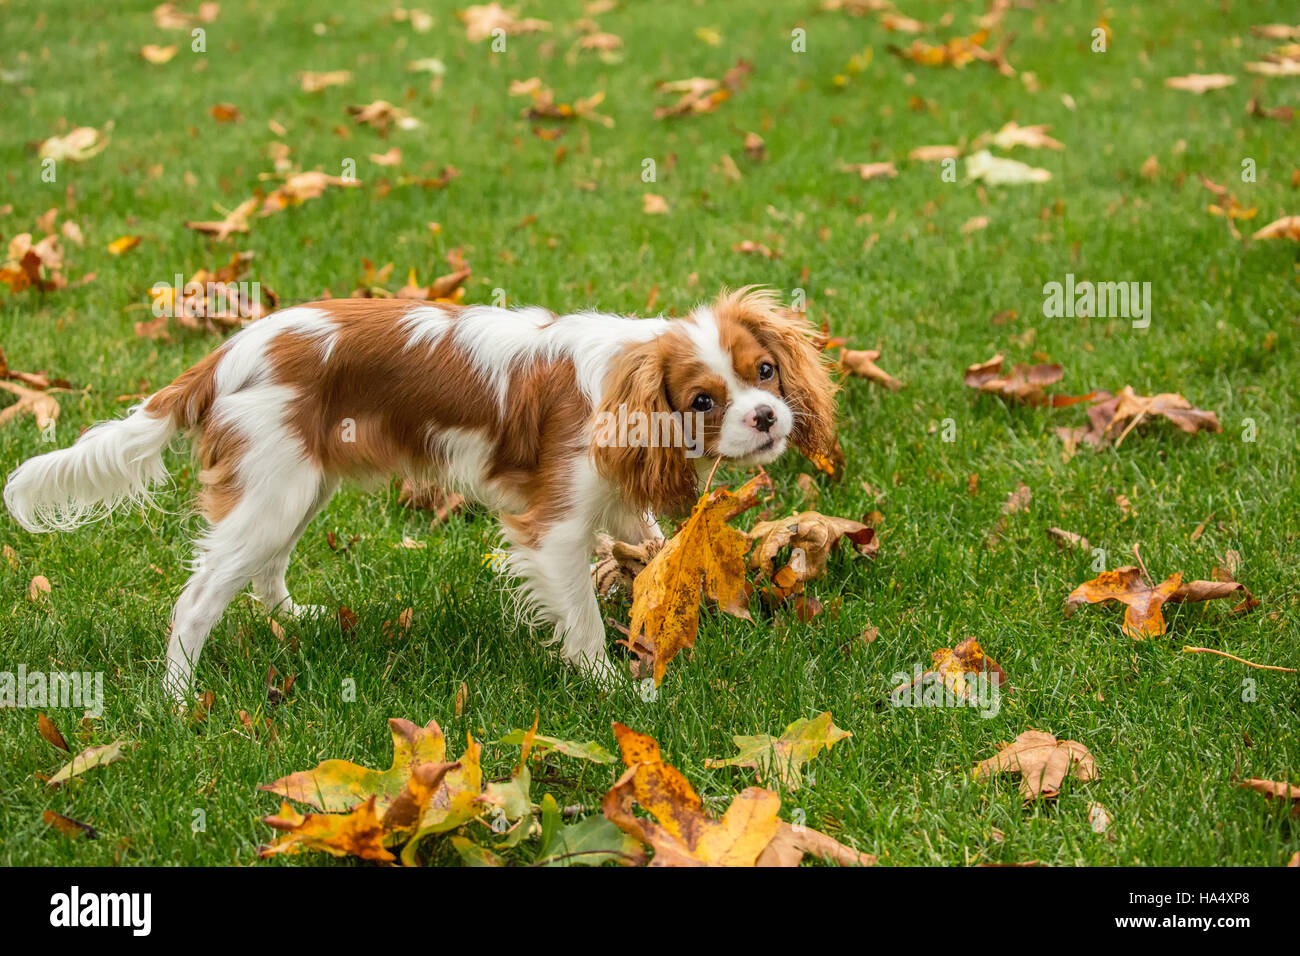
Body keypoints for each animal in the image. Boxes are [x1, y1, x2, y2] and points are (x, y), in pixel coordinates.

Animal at [2, 287, 832, 697]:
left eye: (764, 372)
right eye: (702, 401)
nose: (767, 417)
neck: (621, 383)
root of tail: (226, 352)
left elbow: (648, 550)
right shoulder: (553, 526)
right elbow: (584, 622)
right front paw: (611, 687)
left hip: (300, 486)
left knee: (267, 567)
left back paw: (294, 619)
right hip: (273, 489)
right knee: (197, 599)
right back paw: (178, 700)